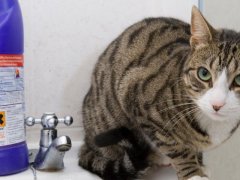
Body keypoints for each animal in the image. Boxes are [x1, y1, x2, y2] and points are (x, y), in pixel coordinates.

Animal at [79, 5, 240, 180]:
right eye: (204, 73)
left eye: (239, 80)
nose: (217, 104)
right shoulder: (135, 95)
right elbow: (177, 148)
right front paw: (192, 173)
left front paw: (200, 165)